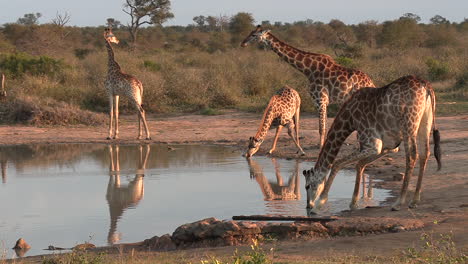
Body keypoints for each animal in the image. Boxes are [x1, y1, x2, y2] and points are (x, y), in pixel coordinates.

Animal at [243, 25, 374, 147]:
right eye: (250, 32)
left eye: (254, 35)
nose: (243, 43)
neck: (308, 69)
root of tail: (371, 83)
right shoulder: (323, 101)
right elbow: (324, 127)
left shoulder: (320, 99)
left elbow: (321, 129)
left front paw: (320, 148)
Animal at [302, 75, 440, 211]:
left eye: (307, 186)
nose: (308, 206)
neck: (349, 118)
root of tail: (426, 85)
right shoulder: (387, 145)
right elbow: (359, 165)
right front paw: (354, 203)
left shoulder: (372, 145)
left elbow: (337, 163)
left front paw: (321, 202)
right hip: (425, 121)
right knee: (424, 154)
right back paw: (414, 200)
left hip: (409, 124)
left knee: (412, 155)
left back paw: (398, 202)